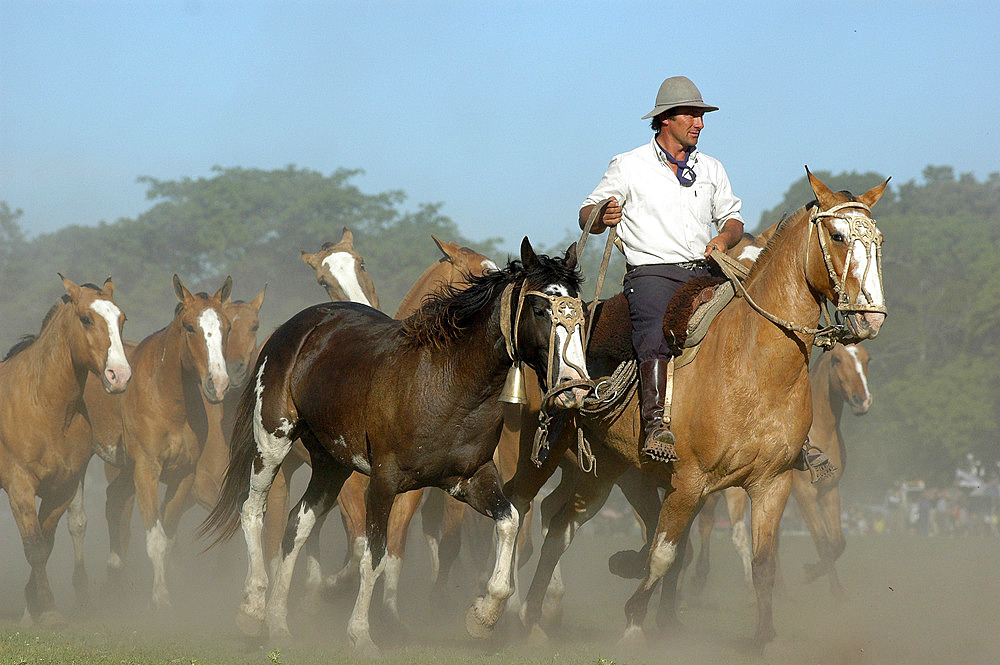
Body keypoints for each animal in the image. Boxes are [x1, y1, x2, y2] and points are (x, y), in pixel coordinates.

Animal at [0, 278, 131, 624]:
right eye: (86, 318)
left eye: (122, 319)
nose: (119, 375)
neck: (43, 404)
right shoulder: (19, 486)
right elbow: (34, 547)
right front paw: (47, 609)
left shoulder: (63, 487)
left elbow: (46, 544)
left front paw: (35, 607)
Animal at [205, 239, 592, 652]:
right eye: (540, 309)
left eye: (581, 312)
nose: (575, 388)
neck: (445, 382)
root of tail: (295, 327)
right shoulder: (383, 482)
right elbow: (373, 555)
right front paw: (360, 634)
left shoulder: (469, 478)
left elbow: (508, 523)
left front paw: (484, 616)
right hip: (273, 440)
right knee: (253, 510)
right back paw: (252, 609)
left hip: (331, 463)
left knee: (297, 525)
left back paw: (279, 622)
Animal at [504, 169, 888, 652]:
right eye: (837, 235)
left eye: (878, 239)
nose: (871, 316)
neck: (753, 364)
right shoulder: (687, 482)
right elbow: (664, 555)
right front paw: (634, 622)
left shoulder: (773, 483)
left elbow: (763, 564)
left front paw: (763, 639)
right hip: (550, 458)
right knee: (519, 509)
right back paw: (497, 607)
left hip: (601, 470)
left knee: (560, 524)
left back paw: (536, 617)